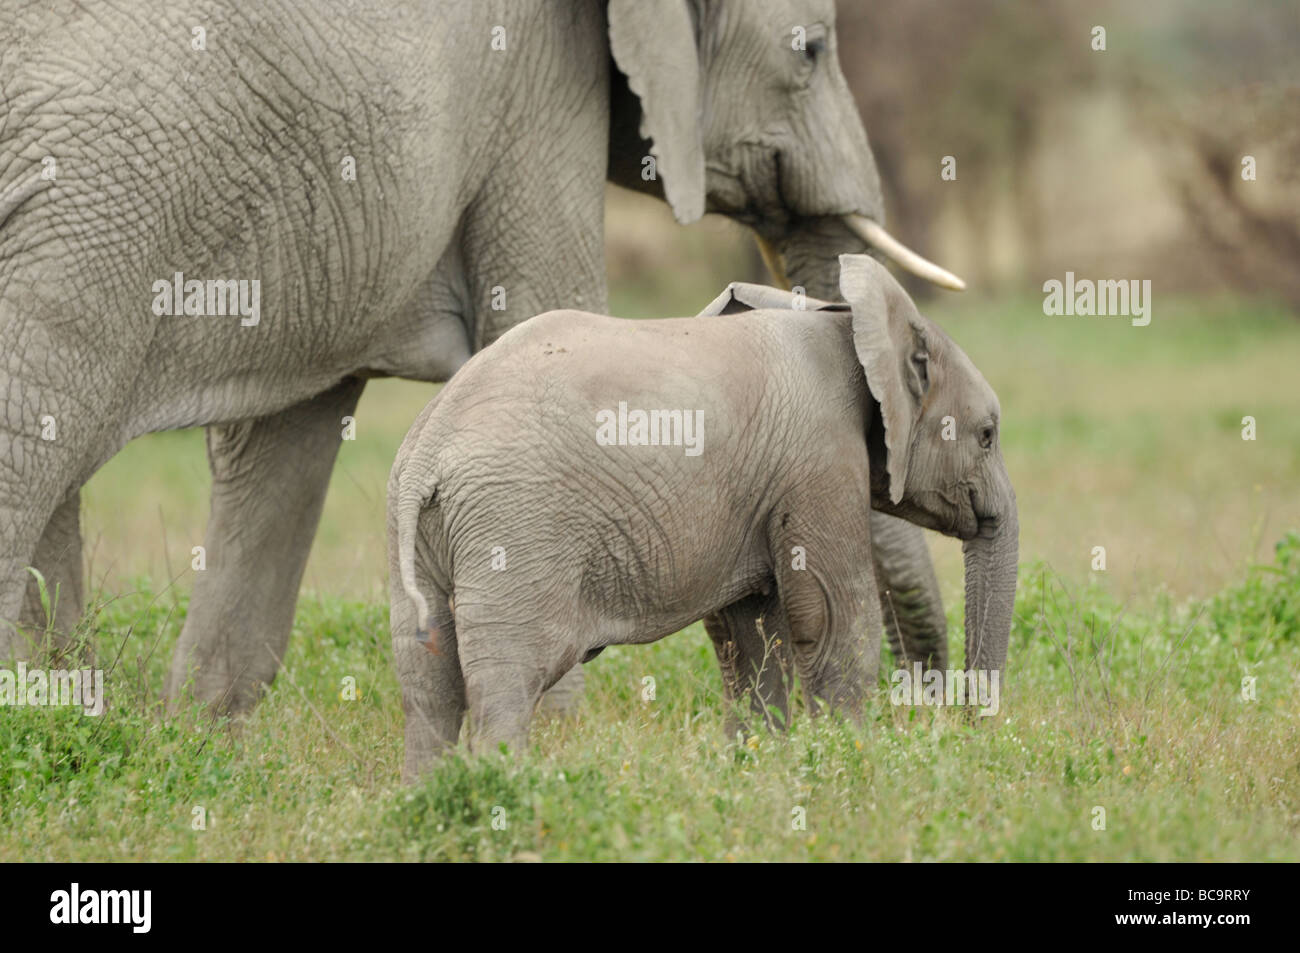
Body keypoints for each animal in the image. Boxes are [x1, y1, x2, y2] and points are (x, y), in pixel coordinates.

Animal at [0, 0, 960, 714]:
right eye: (811, 49)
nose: (936, 708)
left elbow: (289, 437)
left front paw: (200, 732)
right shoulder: (539, 91)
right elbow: (545, 306)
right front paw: (564, 748)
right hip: (85, 216)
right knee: (37, 435)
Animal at [388, 254, 1018, 777]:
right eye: (987, 435)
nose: (962, 728)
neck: (844, 322)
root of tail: (429, 450)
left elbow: (750, 634)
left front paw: (757, 769)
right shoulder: (818, 459)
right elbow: (832, 617)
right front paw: (848, 766)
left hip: (415, 532)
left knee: (429, 686)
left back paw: (427, 796)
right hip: (517, 530)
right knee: (507, 683)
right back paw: (505, 791)